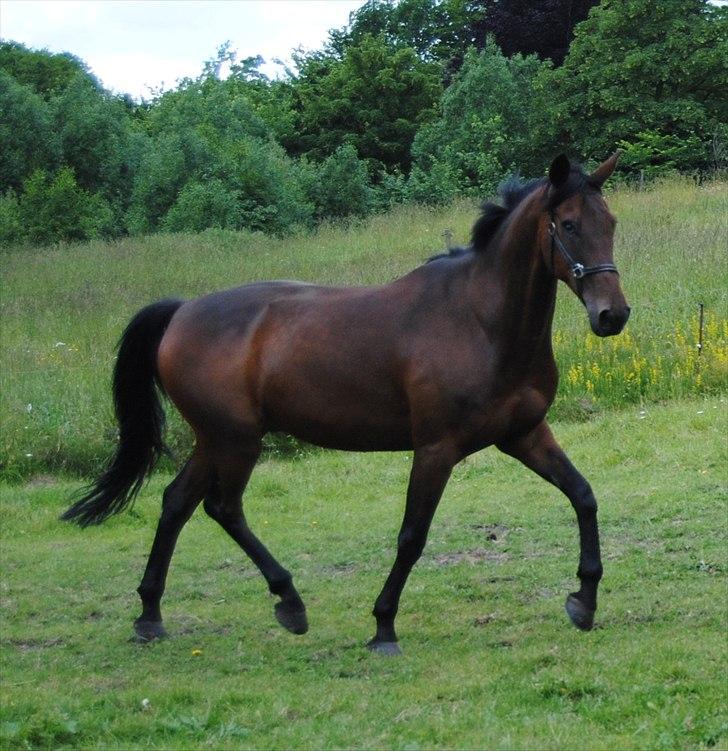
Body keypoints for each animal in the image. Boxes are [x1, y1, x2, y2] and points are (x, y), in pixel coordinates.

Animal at [64, 156, 632, 656]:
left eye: (610, 222)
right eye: (568, 224)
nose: (613, 315)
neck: (481, 322)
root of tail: (182, 311)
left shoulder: (525, 434)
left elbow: (584, 496)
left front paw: (584, 600)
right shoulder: (436, 448)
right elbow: (412, 536)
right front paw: (383, 626)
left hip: (216, 439)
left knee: (177, 503)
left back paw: (152, 615)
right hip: (235, 440)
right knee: (221, 508)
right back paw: (288, 601)